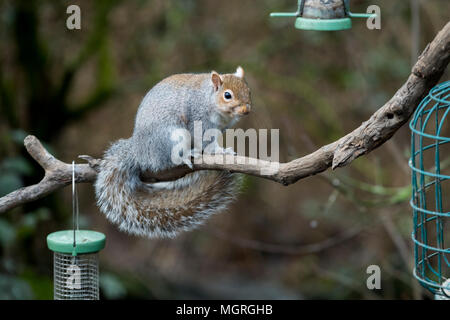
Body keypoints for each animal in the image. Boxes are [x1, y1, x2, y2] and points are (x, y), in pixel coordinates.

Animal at [95, 67, 251, 238]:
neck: (209, 99)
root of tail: (139, 152)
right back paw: (187, 155)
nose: (246, 110)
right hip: (173, 138)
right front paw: (219, 152)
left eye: (248, 90)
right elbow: (205, 141)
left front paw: (222, 150)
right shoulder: (199, 120)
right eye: (227, 95)